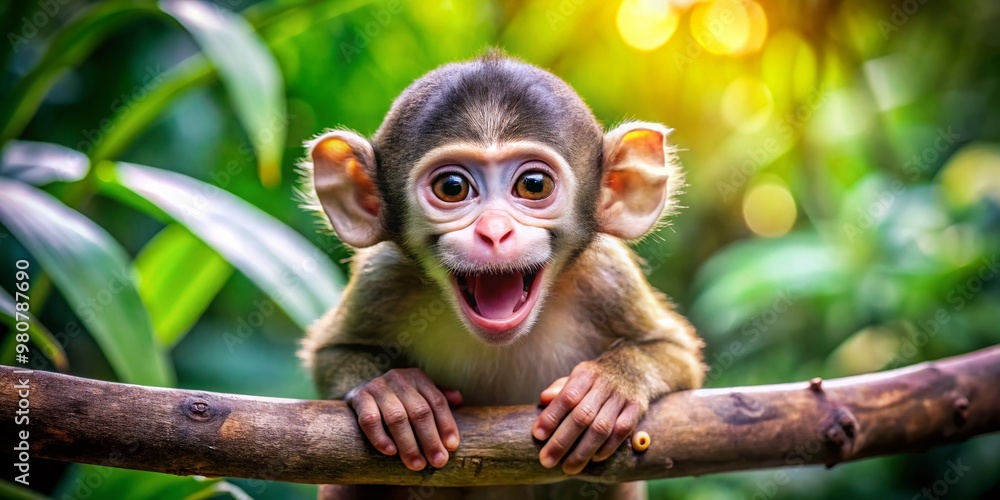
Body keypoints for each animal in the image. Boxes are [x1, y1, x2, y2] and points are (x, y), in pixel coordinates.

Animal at [299, 52, 704, 500]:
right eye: (453, 187)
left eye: (533, 185)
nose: (494, 231)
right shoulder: (382, 275)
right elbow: (329, 352)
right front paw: (390, 391)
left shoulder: (607, 276)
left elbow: (677, 354)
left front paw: (609, 386)